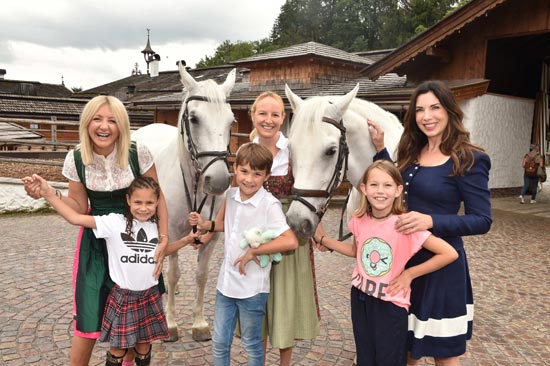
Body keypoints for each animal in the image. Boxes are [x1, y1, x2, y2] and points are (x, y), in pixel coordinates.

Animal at [136, 64, 237, 342]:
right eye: (194, 118)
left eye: (231, 121)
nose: (219, 180)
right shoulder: (170, 231)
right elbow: (173, 274)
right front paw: (170, 324)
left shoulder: (212, 235)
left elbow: (202, 276)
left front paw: (199, 323)